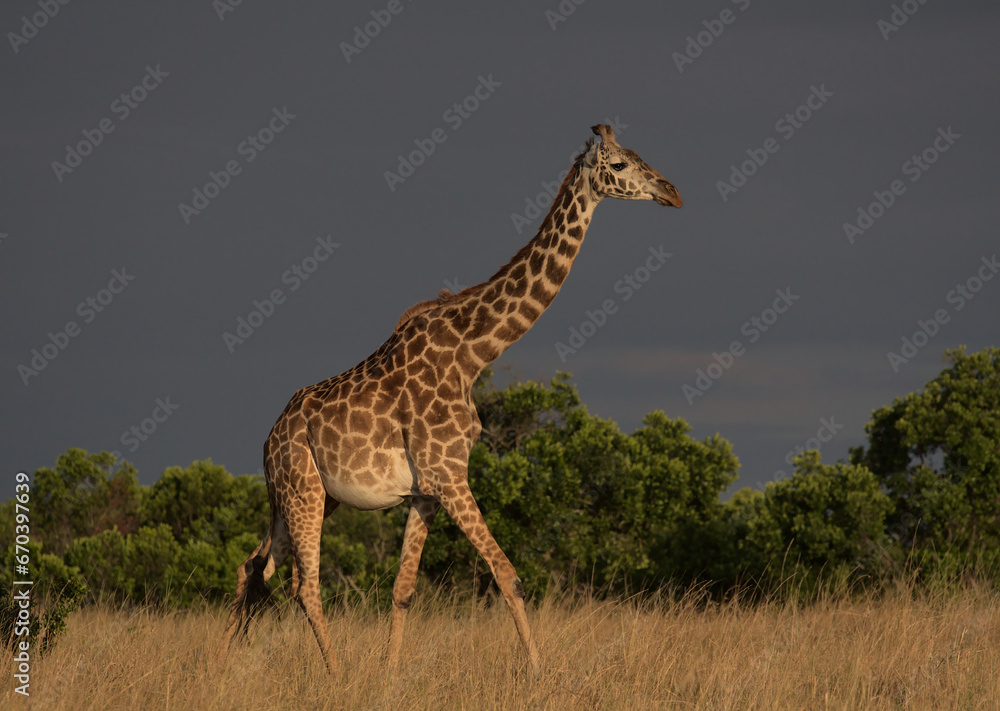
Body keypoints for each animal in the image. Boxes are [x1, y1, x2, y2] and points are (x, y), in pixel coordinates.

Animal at [225, 124, 682, 675]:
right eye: (618, 165)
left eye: (638, 154)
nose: (672, 192)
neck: (474, 351)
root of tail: (269, 438)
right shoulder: (449, 476)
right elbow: (508, 575)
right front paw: (539, 673)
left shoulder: (425, 491)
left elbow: (402, 589)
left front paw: (390, 676)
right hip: (303, 490)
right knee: (302, 584)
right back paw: (335, 674)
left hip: (301, 496)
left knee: (253, 566)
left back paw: (218, 668)